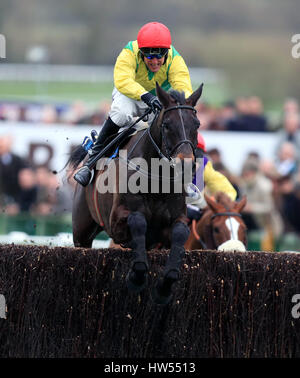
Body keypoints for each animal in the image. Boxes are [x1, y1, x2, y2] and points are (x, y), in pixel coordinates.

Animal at [68, 82, 204, 304]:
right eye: (167, 124)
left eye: (197, 124)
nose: (185, 164)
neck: (156, 181)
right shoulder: (116, 221)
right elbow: (138, 222)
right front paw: (137, 277)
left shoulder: (176, 219)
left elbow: (179, 233)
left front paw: (165, 286)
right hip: (81, 231)